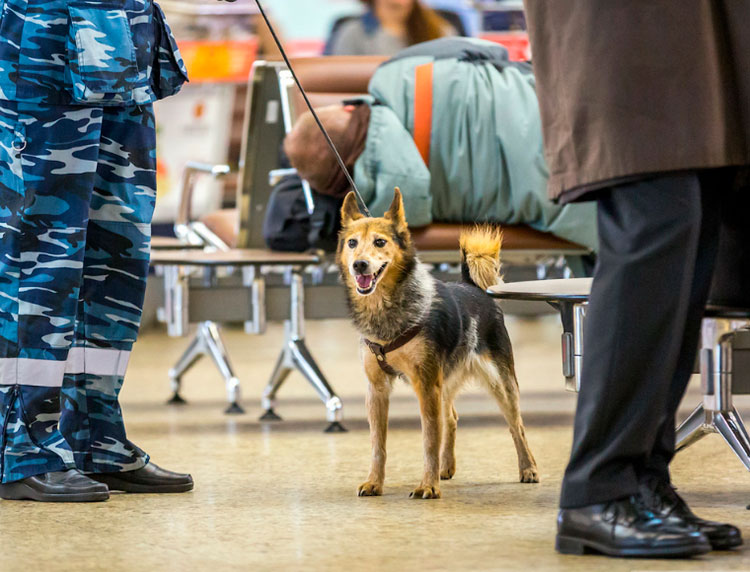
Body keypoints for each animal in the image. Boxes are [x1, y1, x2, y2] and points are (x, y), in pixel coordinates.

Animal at [336, 189, 540, 500]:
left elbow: (429, 439)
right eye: (352, 243)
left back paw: (528, 468)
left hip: (500, 383)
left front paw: (427, 485)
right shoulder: (377, 389)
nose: (359, 264)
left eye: (380, 242)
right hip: (445, 381)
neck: (388, 309)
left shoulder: (426, 384)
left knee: (517, 426)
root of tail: (472, 286)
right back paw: (446, 467)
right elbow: (377, 445)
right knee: (452, 418)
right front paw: (374, 482)